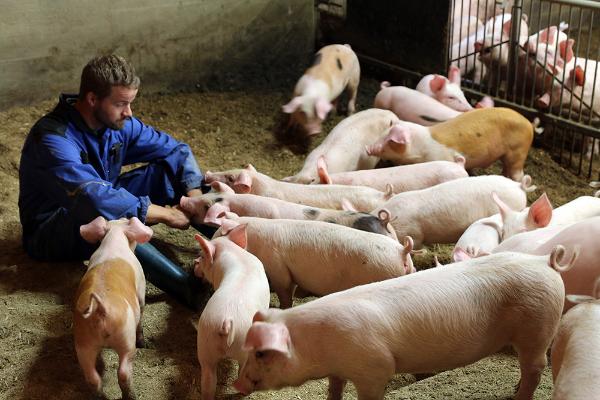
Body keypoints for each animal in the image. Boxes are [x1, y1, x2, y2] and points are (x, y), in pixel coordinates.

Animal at [73, 217, 153, 400]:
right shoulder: (141, 288)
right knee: (123, 372)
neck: (114, 239)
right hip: (126, 338)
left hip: (83, 342)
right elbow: (142, 309)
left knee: (92, 378)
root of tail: (99, 309)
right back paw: (131, 395)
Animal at [192, 224, 270, 400]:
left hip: (205, 341)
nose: (194, 265)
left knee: (208, 379)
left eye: (202, 257)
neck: (232, 251)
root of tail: (226, 321)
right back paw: (246, 392)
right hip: (243, 349)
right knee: (241, 374)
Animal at [234, 246, 572, 400]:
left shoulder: (375, 367)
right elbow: (334, 387)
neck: (319, 344)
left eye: (261, 353)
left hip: (538, 325)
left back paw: (518, 396)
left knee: (536, 366)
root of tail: (544, 262)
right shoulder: (339, 369)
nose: (237, 384)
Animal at [366, 107, 535, 181]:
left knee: (517, 174)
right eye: (383, 134)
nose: (368, 148)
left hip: (518, 152)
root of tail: (528, 123)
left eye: (390, 141)